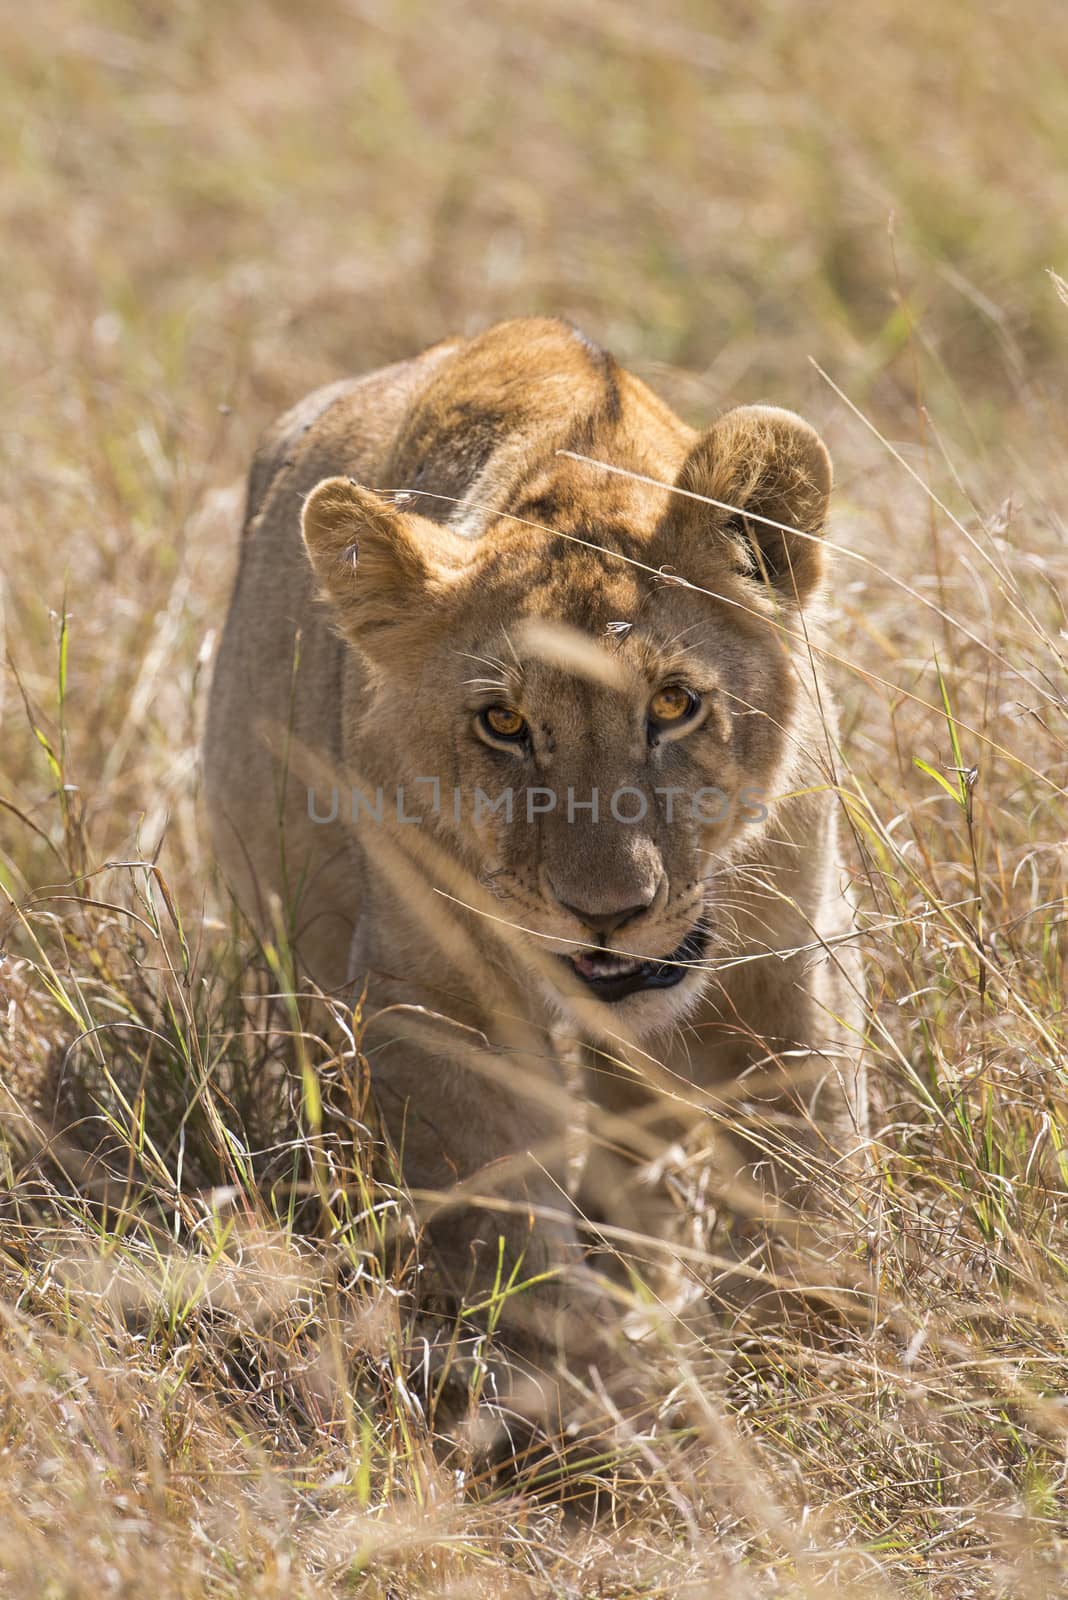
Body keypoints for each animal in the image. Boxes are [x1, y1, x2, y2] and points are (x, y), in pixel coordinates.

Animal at [202, 315, 869, 1427]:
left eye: (675, 705)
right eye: (504, 724)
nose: (609, 913)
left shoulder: (782, 965)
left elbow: (800, 1182)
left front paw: (813, 1359)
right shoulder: (439, 998)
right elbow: (509, 1226)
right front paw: (610, 1407)